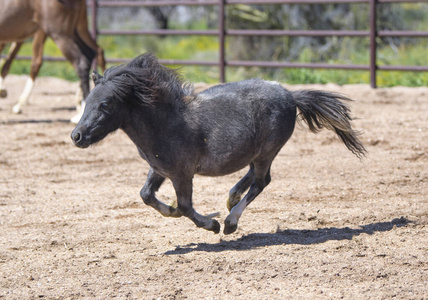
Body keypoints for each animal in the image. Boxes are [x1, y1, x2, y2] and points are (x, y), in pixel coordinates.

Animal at [72, 53, 366, 234]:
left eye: (105, 104)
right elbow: (146, 195)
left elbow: (186, 206)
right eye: (87, 102)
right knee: (252, 176)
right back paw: (231, 198)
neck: (166, 122)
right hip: (257, 152)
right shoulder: (160, 169)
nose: (77, 136)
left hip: (267, 151)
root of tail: (292, 96)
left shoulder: (182, 174)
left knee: (261, 181)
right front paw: (171, 211)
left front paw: (210, 225)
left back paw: (230, 221)